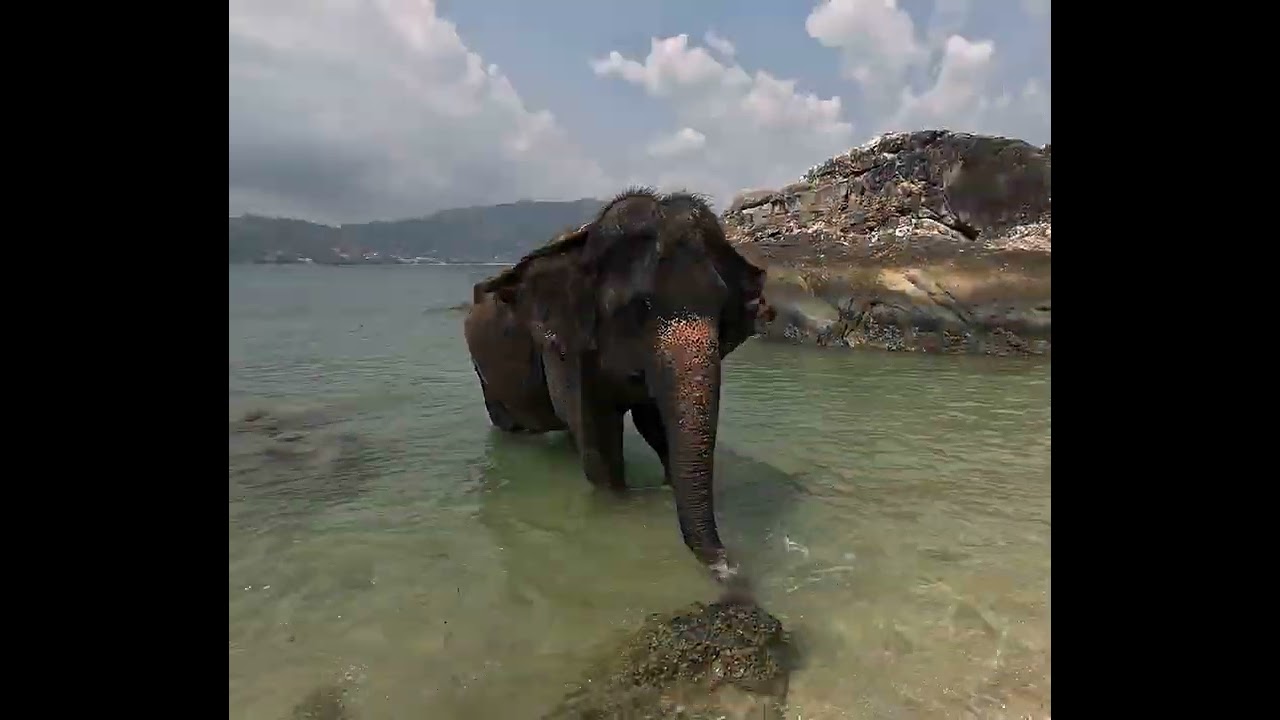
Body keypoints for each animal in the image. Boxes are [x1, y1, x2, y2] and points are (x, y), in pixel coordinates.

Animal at [462, 188, 775, 581]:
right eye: (638, 308)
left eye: (721, 308)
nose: (728, 566)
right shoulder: (566, 349)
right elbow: (598, 438)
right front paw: (620, 504)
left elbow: (653, 423)